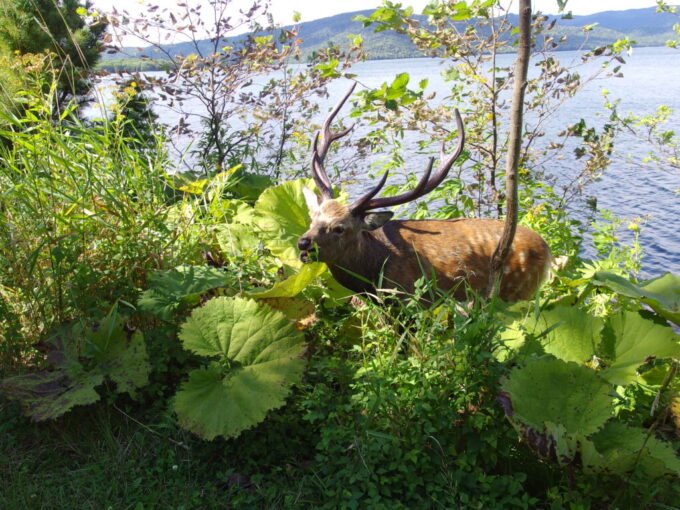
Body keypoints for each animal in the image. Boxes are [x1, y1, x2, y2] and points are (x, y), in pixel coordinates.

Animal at [298, 82, 552, 298]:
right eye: (312, 219)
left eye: (340, 228)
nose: (303, 244)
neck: (373, 276)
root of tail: (548, 250)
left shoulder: (415, 298)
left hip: (516, 292)